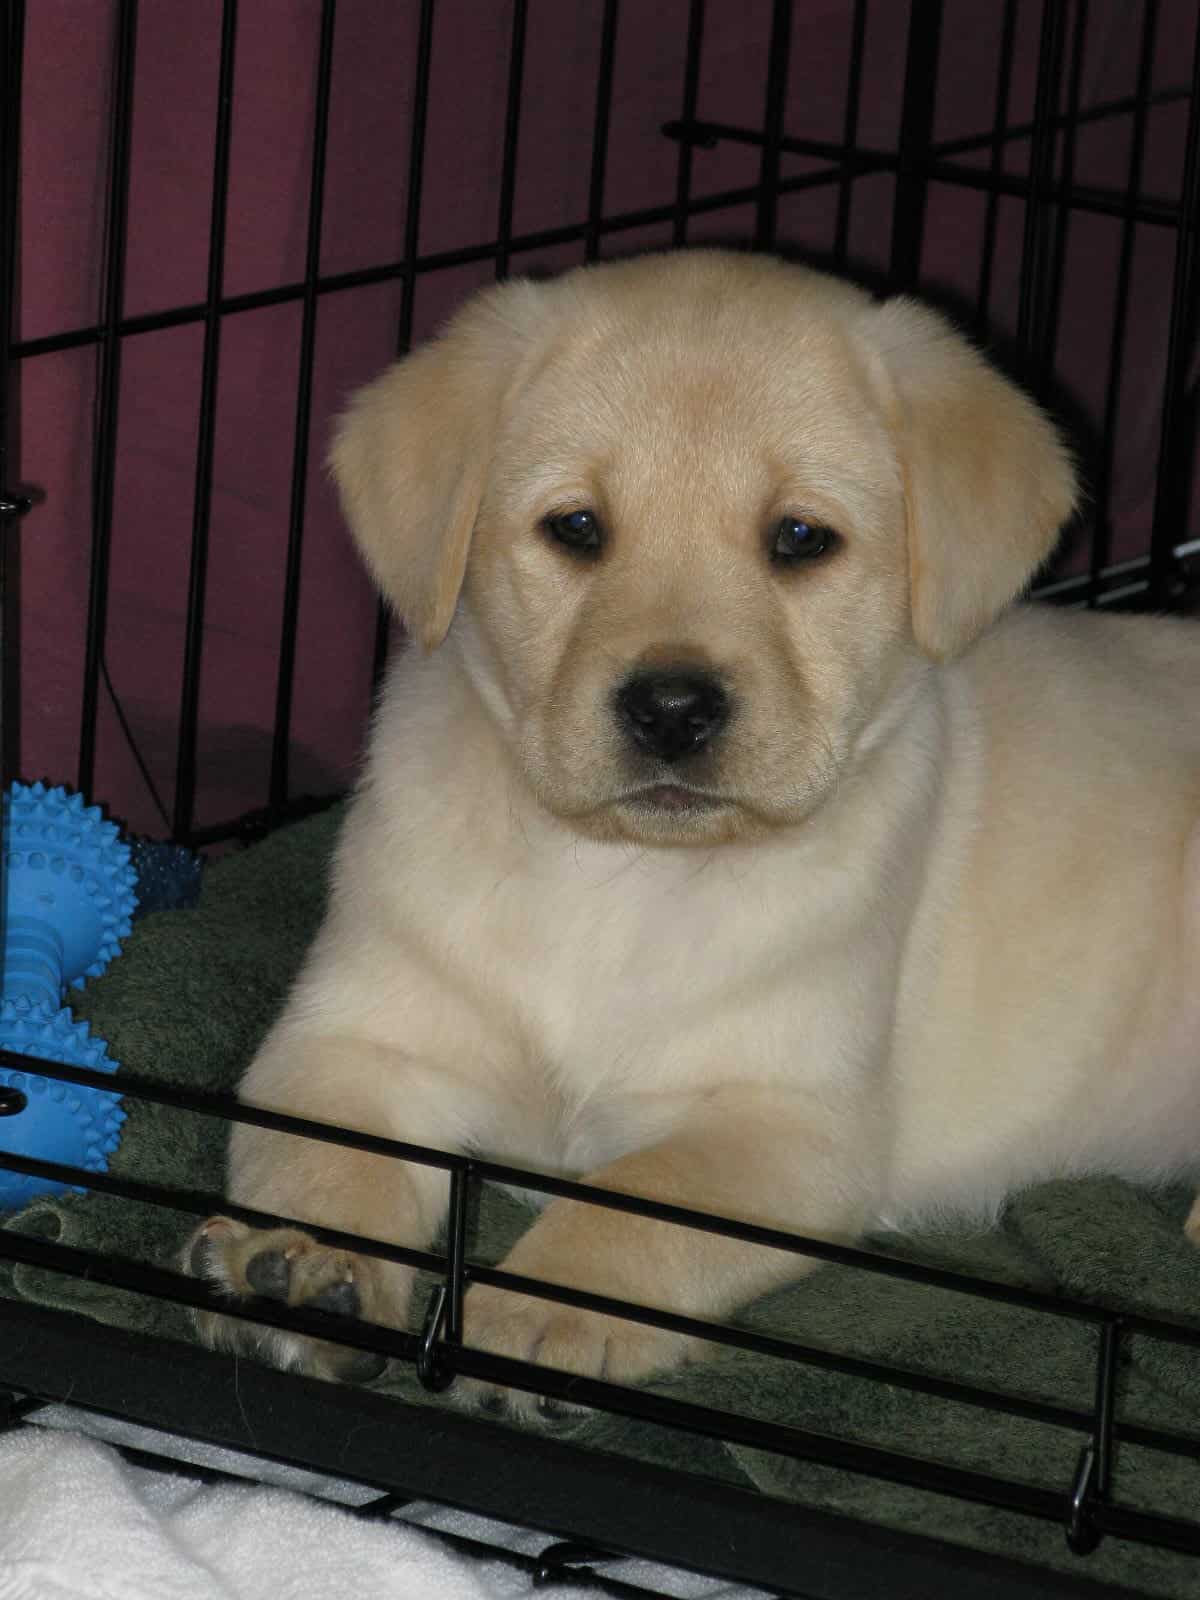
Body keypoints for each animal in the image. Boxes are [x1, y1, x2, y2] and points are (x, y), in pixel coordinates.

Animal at [188, 252, 1200, 1414]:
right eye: (576, 528)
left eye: (800, 539)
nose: (671, 708)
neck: (622, 875)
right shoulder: (353, 1042)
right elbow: (323, 1156)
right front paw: (306, 1259)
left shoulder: (785, 1123)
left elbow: (635, 1200)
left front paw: (542, 1310)